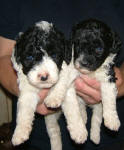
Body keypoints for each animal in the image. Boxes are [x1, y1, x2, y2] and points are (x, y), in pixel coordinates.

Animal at [11, 20, 85, 150]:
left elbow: (72, 109)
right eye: (29, 57)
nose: (44, 76)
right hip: (50, 119)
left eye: (54, 55)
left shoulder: (68, 83)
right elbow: (24, 112)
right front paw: (19, 133)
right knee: (54, 131)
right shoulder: (27, 92)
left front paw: (79, 132)